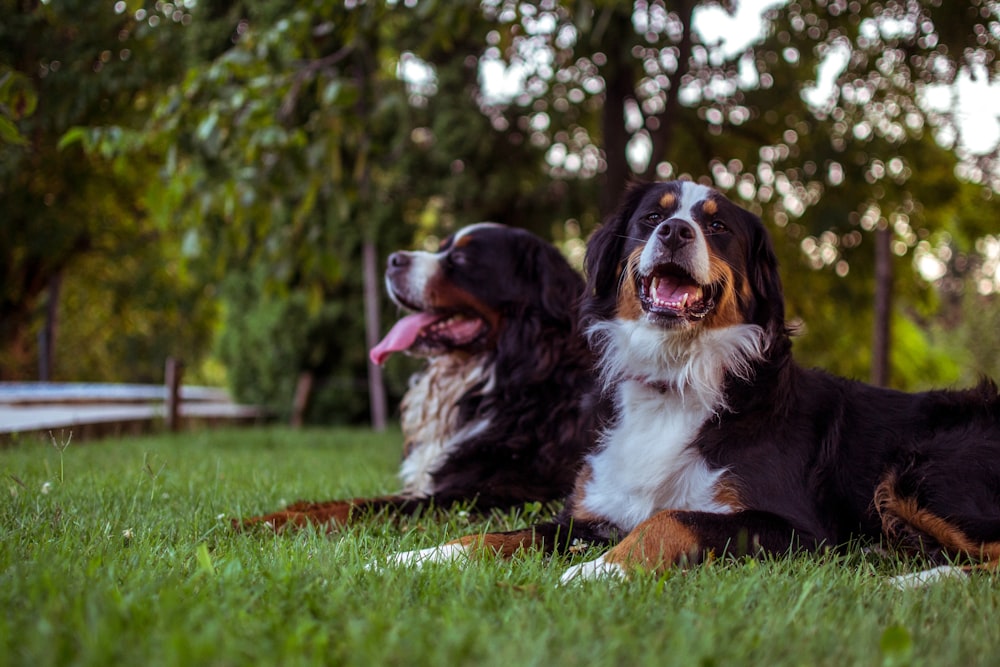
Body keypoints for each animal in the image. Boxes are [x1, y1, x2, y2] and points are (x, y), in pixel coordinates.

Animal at [236, 224, 592, 532]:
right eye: (441, 247)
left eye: (461, 259)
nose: (393, 260)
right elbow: (336, 501)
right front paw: (257, 518)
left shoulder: (494, 496)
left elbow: (357, 508)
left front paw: (262, 526)